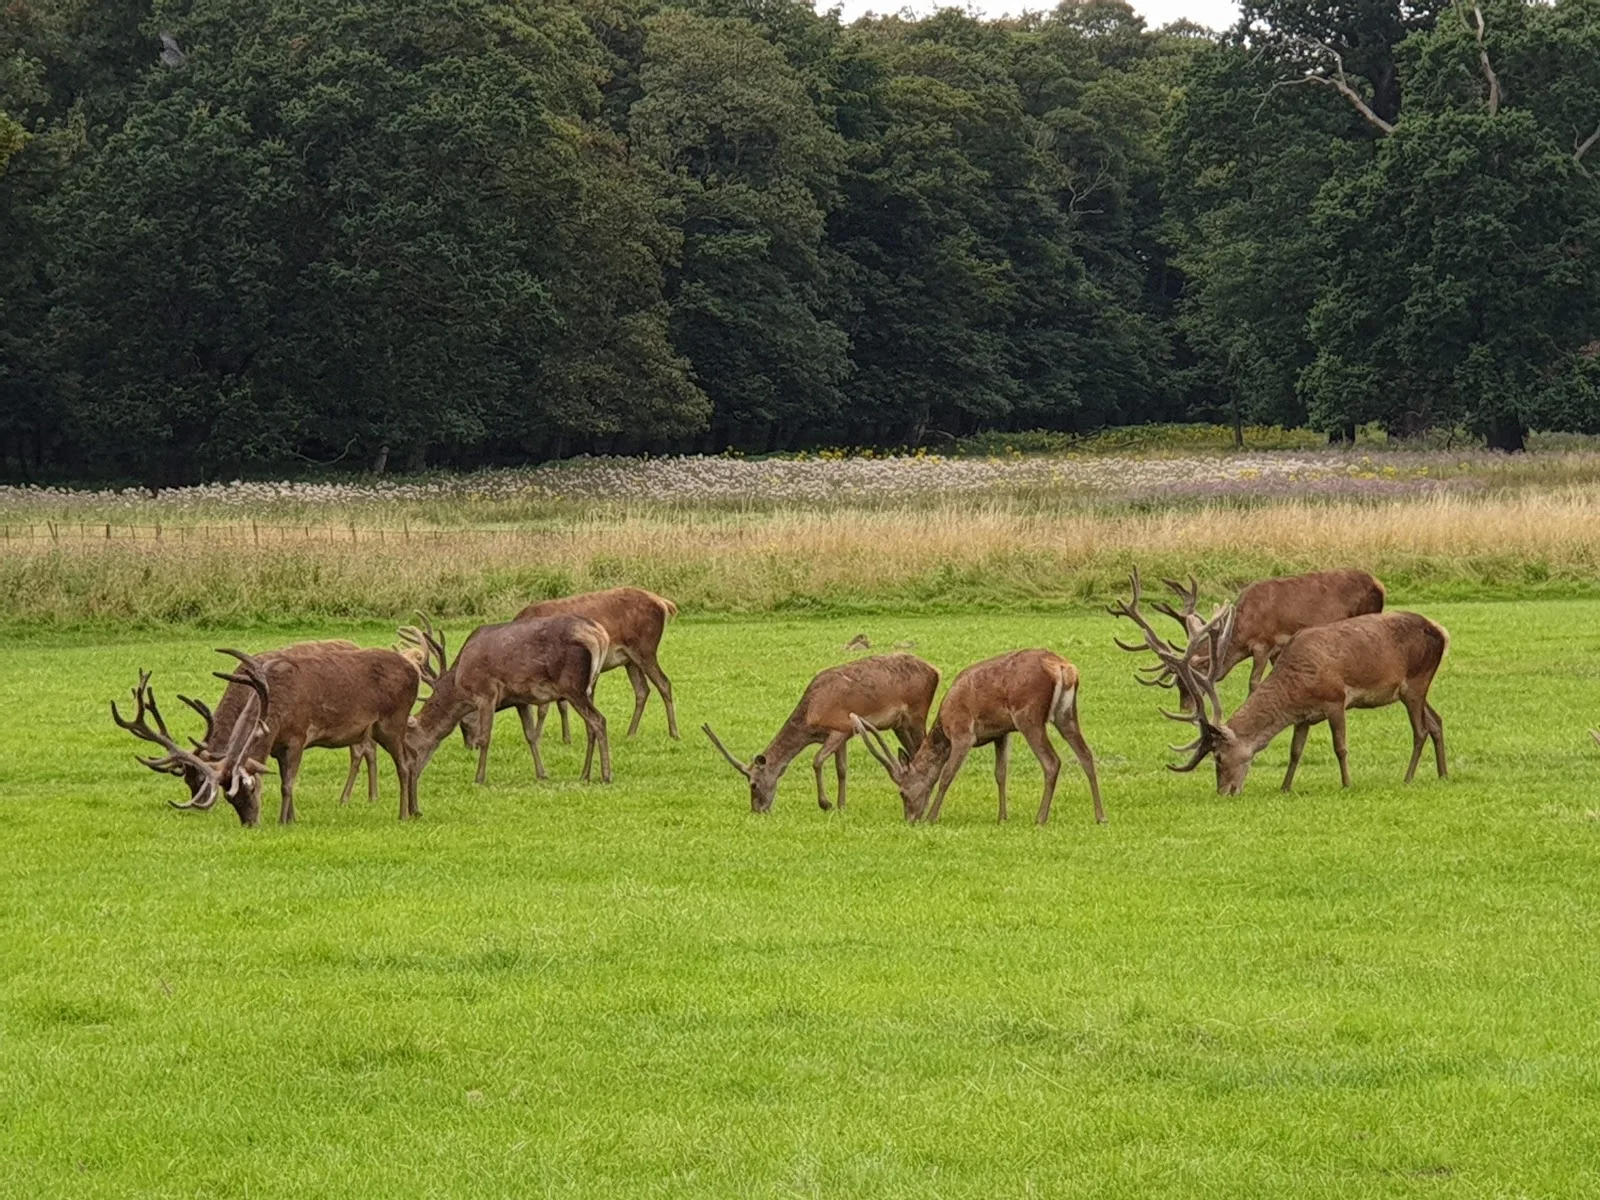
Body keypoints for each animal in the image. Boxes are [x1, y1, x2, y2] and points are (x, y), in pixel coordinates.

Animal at [115, 649, 422, 825]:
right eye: (229, 799)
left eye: (249, 789)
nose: (250, 823)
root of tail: (414, 670)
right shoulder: (276, 746)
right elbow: (286, 779)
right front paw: (293, 818)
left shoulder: (298, 735)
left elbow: (287, 784)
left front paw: (284, 821)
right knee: (409, 757)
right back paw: (416, 810)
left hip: (392, 720)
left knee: (405, 764)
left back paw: (403, 814)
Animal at [406, 614, 611, 784]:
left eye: (410, 744)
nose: (411, 772)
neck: (460, 686)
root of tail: (600, 636)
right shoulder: (520, 700)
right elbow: (531, 735)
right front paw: (542, 774)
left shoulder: (485, 694)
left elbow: (485, 738)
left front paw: (479, 778)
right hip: (590, 684)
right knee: (590, 726)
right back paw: (584, 774)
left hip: (572, 685)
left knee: (598, 720)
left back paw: (606, 775)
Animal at [700, 659, 934, 819]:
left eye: (753, 784)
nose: (757, 810)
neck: (810, 721)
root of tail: (935, 671)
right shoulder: (844, 732)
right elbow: (841, 769)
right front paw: (841, 806)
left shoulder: (838, 727)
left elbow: (817, 761)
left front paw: (826, 804)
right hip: (900, 724)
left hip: (916, 714)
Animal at [851, 649, 1100, 825]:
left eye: (902, 792)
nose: (910, 819)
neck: (944, 725)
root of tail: (1064, 667)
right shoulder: (1002, 733)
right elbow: (1001, 773)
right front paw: (1002, 817)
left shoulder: (963, 733)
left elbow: (946, 775)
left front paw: (931, 817)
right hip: (1065, 714)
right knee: (1086, 755)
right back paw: (1100, 816)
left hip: (1028, 715)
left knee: (1052, 761)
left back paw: (1040, 818)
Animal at [1113, 572, 1452, 800]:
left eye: (1218, 757)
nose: (1225, 791)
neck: (1296, 686)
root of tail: (1442, 631)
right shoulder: (1304, 717)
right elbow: (1295, 751)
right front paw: (1285, 786)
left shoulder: (1335, 699)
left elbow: (1340, 746)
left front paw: (1346, 783)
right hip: (1415, 689)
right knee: (1436, 720)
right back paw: (1442, 773)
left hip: (1415, 684)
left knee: (1420, 729)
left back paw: (1408, 778)